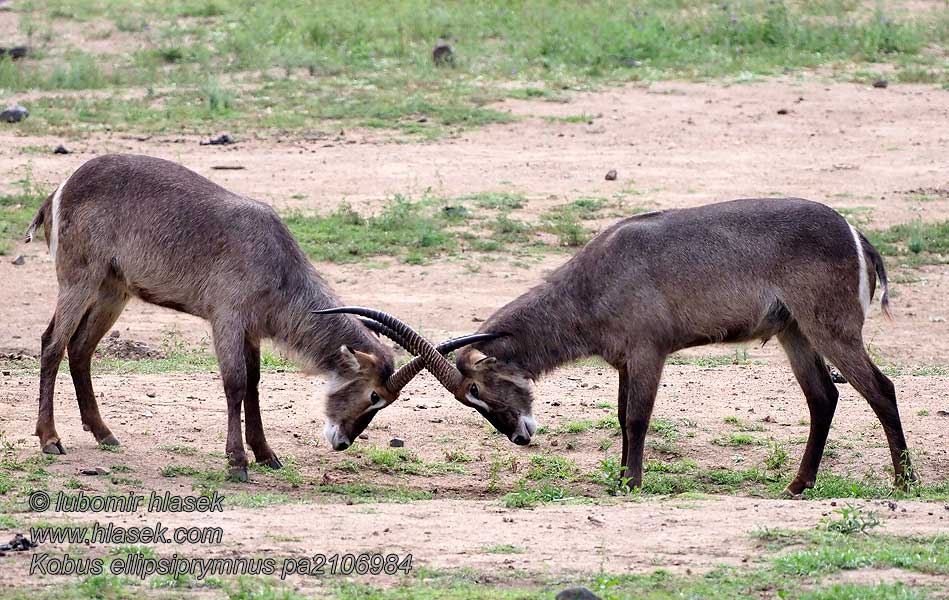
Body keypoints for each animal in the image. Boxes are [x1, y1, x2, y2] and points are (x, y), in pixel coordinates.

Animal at [23, 156, 492, 482]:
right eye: (375, 395)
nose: (342, 442)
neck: (277, 263)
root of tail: (61, 188)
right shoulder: (227, 320)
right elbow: (234, 385)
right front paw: (237, 462)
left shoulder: (251, 331)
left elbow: (254, 384)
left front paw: (266, 454)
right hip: (80, 281)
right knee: (52, 343)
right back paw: (50, 439)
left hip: (112, 291)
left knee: (80, 349)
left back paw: (104, 434)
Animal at [324, 199, 912, 494]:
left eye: (478, 391)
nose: (519, 436)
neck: (594, 280)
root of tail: (855, 232)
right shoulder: (625, 361)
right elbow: (620, 415)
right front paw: (623, 476)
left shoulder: (649, 351)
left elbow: (636, 417)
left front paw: (630, 484)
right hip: (795, 332)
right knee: (824, 398)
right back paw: (797, 486)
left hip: (829, 329)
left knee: (881, 389)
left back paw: (904, 483)